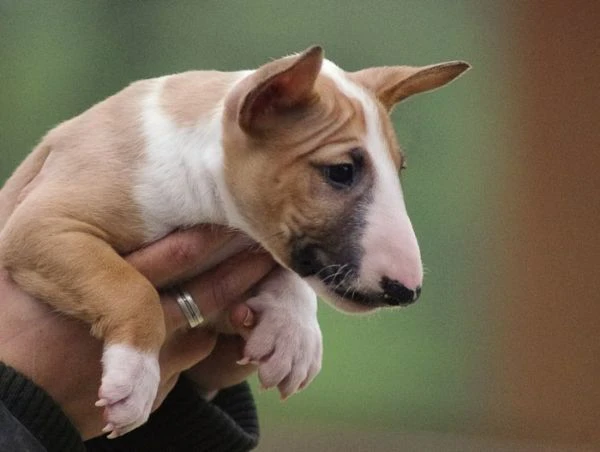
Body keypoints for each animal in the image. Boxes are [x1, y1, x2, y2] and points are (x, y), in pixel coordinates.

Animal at [0, 46, 468, 438]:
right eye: (340, 171)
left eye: (399, 170)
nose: (406, 291)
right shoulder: (40, 225)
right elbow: (131, 288)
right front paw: (134, 375)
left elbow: (285, 270)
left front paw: (293, 333)